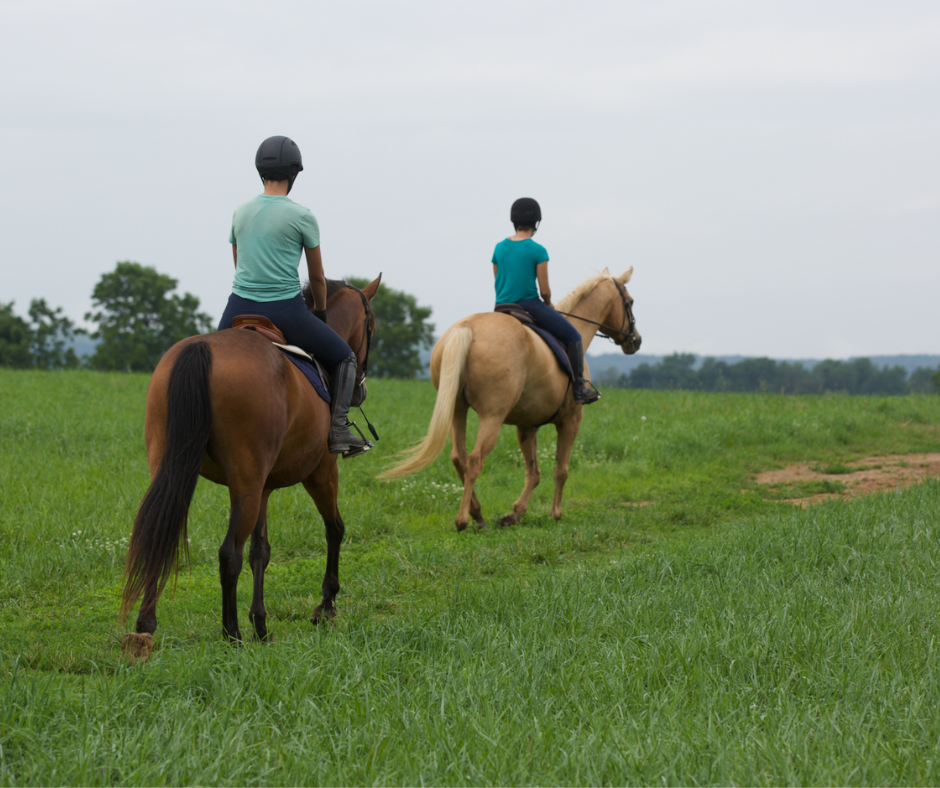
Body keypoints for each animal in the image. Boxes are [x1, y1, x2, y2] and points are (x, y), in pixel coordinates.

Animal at [122, 274, 382, 660]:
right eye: (372, 326)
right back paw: (231, 634)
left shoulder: (264, 486)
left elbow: (262, 552)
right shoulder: (321, 472)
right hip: (247, 481)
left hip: (177, 471)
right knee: (229, 552)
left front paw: (260, 622)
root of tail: (203, 350)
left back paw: (146, 627)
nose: (361, 390)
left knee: (159, 534)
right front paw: (326, 606)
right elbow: (334, 529)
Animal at [380, 268, 640, 532]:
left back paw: (476, 512)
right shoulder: (570, 421)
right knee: (474, 460)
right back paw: (465, 520)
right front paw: (555, 514)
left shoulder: (526, 426)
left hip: (457, 410)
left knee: (459, 458)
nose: (636, 341)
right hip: (492, 417)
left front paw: (515, 514)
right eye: (629, 302)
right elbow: (561, 470)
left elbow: (533, 472)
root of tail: (466, 327)